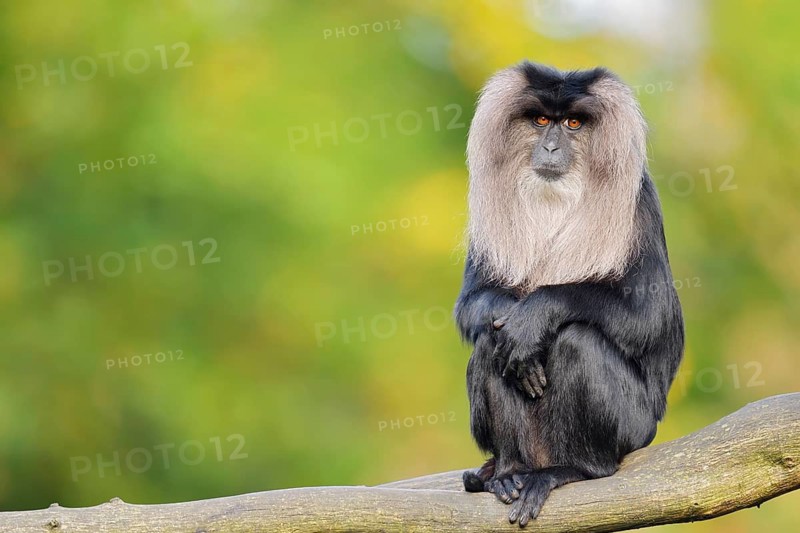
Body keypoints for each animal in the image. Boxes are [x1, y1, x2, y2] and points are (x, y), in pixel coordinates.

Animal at [454, 62, 684, 527]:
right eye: (542, 121)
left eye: (573, 124)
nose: (550, 147)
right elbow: (473, 304)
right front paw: (515, 317)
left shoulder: (640, 206)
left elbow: (650, 315)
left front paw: (534, 315)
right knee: (491, 341)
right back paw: (508, 474)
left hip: (634, 427)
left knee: (576, 340)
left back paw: (573, 469)